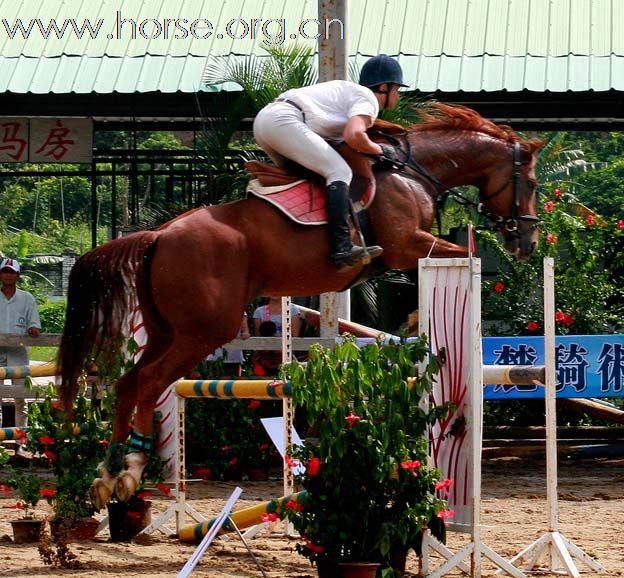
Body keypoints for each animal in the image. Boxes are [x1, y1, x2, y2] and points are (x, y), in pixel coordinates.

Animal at [58, 101, 544, 506]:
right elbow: (462, 251)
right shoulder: (406, 245)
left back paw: (113, 472)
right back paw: (130, 468)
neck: (415, 171)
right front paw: (409, 321)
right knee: (148, 381)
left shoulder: (411, 249)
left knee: (129, 383)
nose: (526, 241)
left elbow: (455, 255)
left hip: (166, 330)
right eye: (534, 183)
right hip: (203, 331)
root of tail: (158, 235)